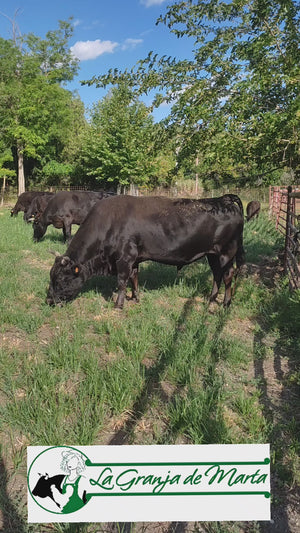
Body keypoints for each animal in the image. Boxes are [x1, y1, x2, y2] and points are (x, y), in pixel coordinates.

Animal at [46, 193, 244, 308]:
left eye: (61, 279)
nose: (49, 300)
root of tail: (224, 200)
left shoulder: (124, 258)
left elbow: (122, 281)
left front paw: (118, 305)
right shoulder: (133, 259)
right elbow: (134, 277)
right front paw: (135, 297)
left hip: (227, 253)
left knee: (228, 274)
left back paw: (225, 303)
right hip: (212, 254)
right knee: (217, 274)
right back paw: (211, 298)